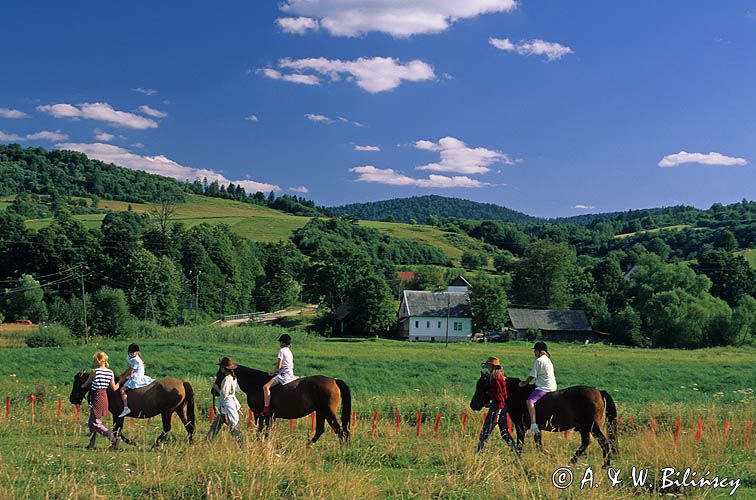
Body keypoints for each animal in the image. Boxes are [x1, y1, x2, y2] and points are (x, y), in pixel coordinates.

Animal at [214, 366, 352, 444]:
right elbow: (266, 431)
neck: (255, 382)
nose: (213, 391)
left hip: (328, 412)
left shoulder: (261, 414)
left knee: (340, 431)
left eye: (219, 374)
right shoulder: (269, 416)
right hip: (320, 412)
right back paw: (307, 447)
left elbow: (261, 430)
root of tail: (334, 381)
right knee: (320, 430)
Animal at [470, 374, 616, 466]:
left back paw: (605, 465)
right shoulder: (536, 429)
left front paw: (517, 462)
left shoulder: (520, 427)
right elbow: (538, 445)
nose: (473, 404)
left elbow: (520, 445)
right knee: (586, 443)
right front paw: (550, 457)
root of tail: (599, 392)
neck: (518, 394)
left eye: (482, 386)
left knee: (603, 442)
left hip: (591, 426)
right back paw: (574, 462)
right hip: (584, 428)